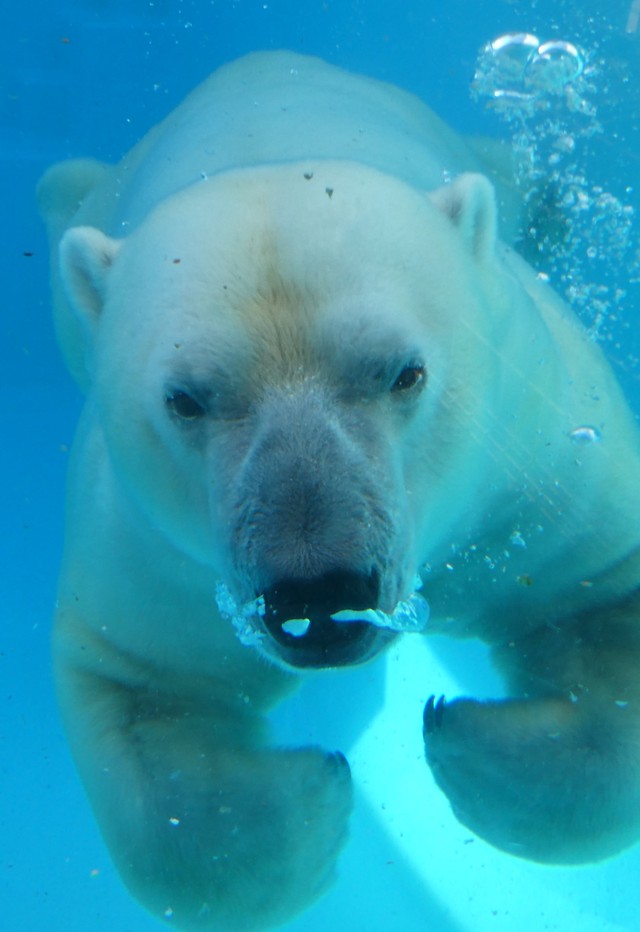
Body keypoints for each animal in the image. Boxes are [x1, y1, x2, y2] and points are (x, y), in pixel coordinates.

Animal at [37, 49, 640, 932]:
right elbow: (145, 693)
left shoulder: (533, 474)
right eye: (185, 399)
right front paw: (313, 804)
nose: (317, 594)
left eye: (405, 372)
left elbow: (596, 594)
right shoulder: (155, 560)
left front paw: (466, 747)